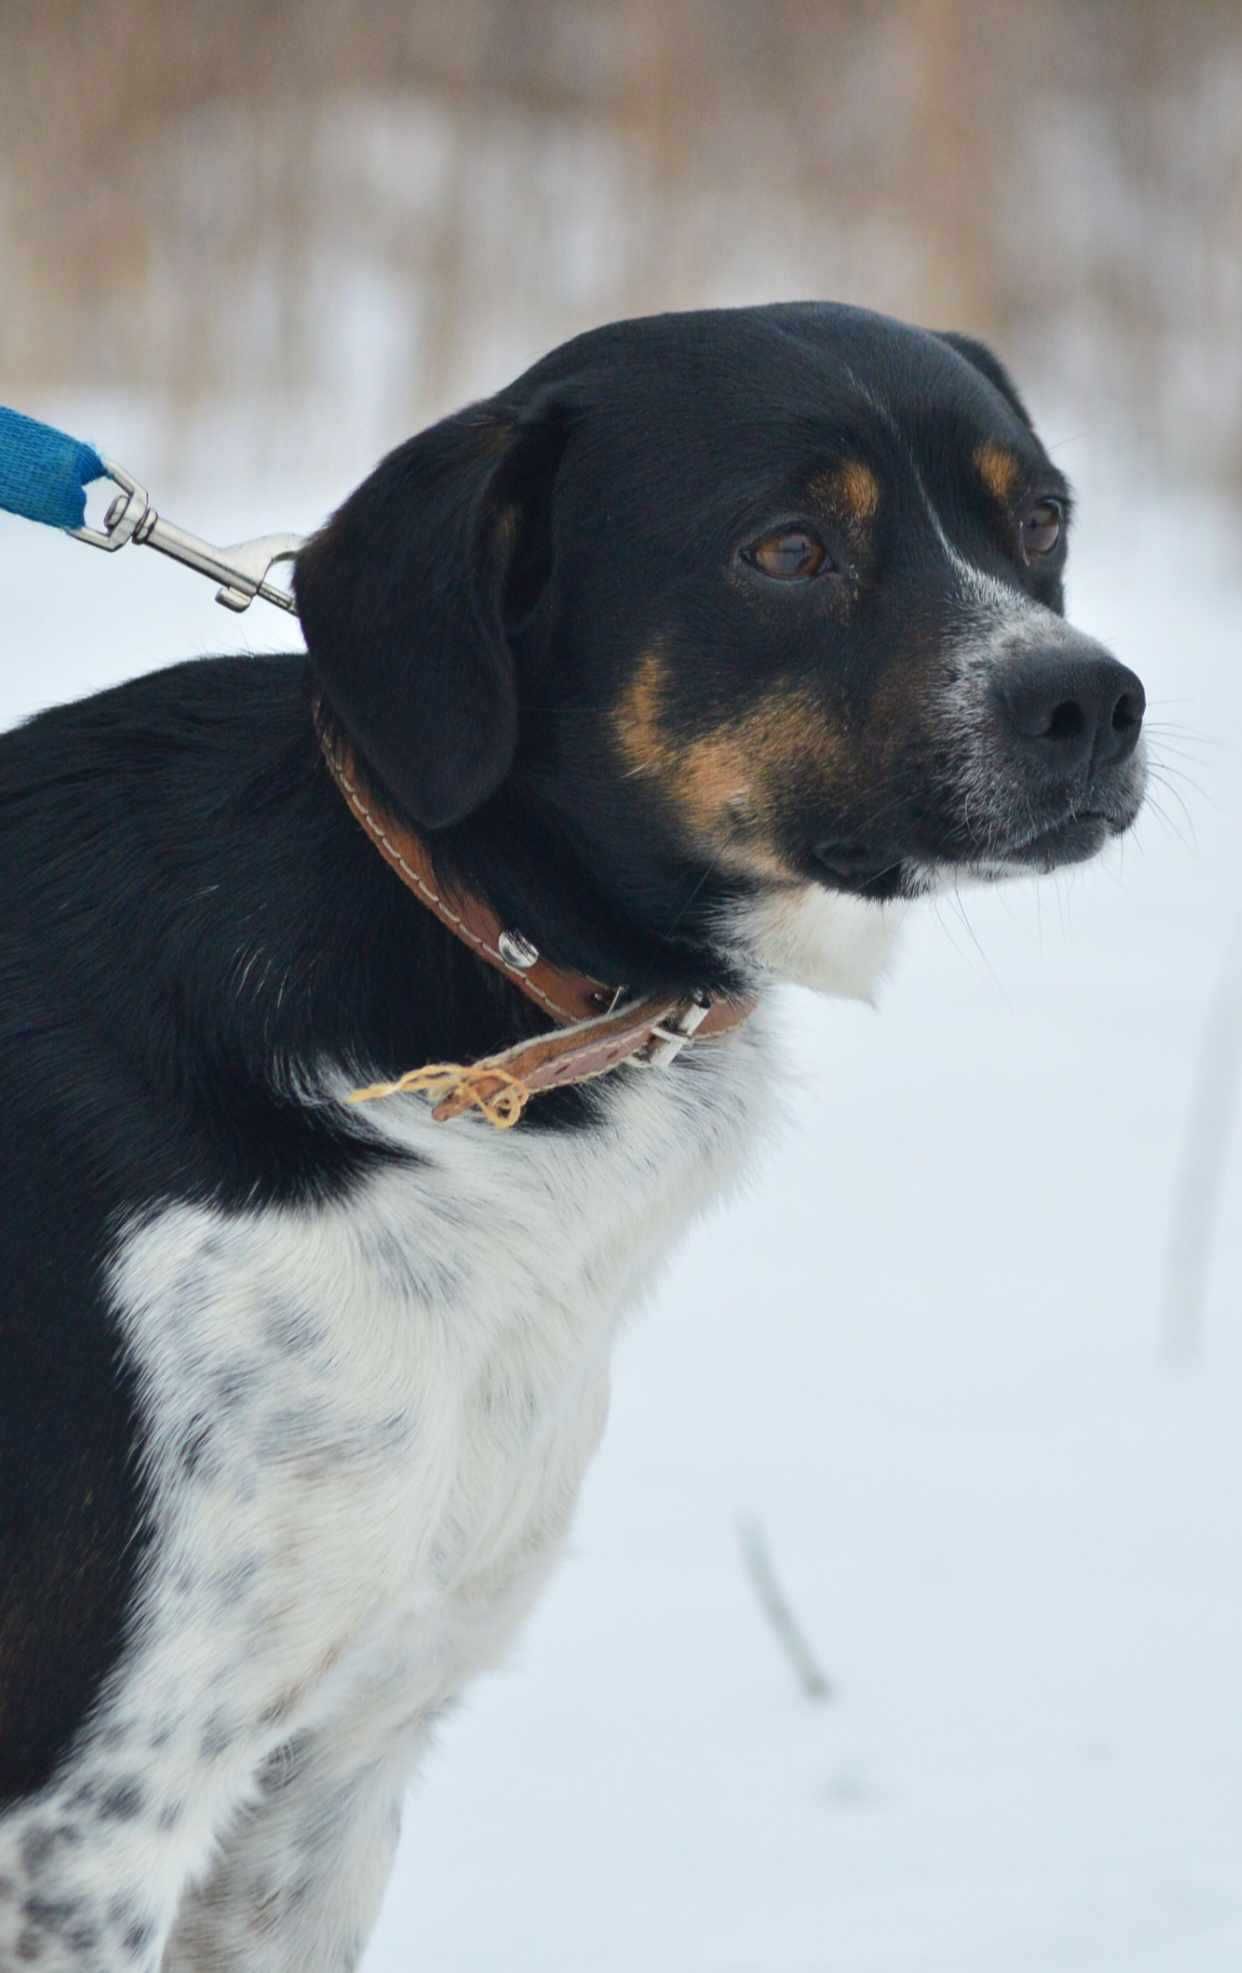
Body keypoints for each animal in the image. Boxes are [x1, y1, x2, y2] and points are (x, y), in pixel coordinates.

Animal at [0, 299, 1145, 1965]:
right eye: (786, 549)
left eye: (1041, 519)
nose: (1094, 704)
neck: (486, 955)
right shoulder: (89, 1813)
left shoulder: (329, 1768)